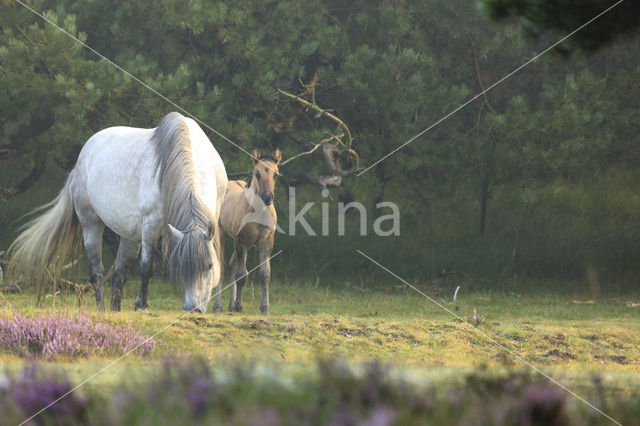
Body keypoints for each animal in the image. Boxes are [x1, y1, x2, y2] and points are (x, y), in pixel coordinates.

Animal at [8, 113, 228, 312]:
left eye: (210, 266)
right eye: (183, 268)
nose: (193, 308)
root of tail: (78, 165)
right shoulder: (151, 225)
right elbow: (147, 267)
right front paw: (141, 305)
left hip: (129, 236)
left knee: (119, 272)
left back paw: (115, 309)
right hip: (91, 223)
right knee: (97, 271)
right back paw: (102, 308)